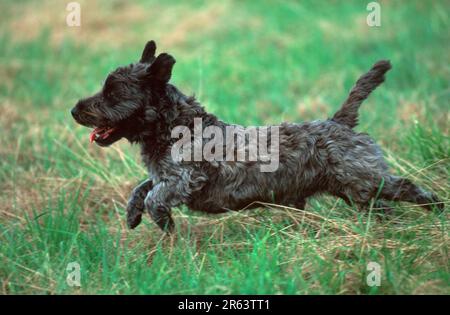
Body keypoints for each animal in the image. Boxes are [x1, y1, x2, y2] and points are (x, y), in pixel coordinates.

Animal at [70, 40, 442, 232]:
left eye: (113, 93)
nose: (74, 110)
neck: (176, 125)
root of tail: (340, 123)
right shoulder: (164, 176)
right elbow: (142, 187)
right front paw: (133, 215)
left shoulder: (184, 179)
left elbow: (154, 196)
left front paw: (163, 223)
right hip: (358, 193)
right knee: (384, 208)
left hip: (364, 179)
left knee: (405, 187)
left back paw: (435, 207)